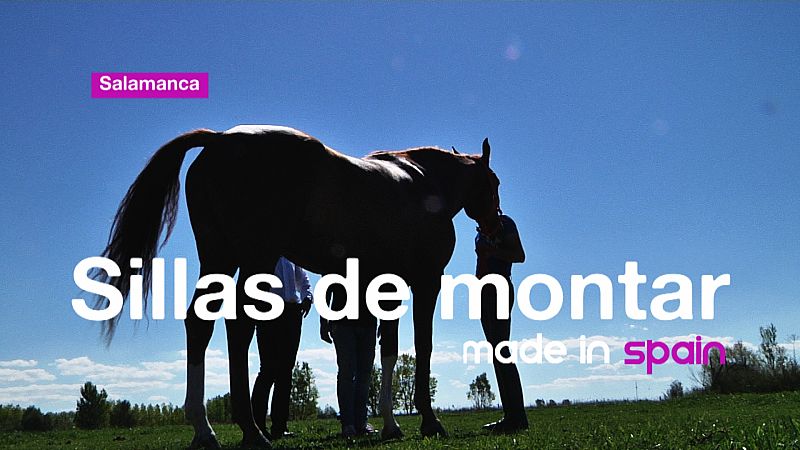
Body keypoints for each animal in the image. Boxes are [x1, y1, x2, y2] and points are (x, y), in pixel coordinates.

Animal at [93, 125, 500, 448]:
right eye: (494, 182)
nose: (495, 225)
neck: (424, 181)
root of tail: (219, 140)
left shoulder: (386, 286)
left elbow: (388, 349)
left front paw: (390, 425)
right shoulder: (427, 280)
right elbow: (422, 346)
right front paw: (429, 422)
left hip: (218, 258)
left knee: (200, 323)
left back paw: (205, 429)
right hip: (254, 258)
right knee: (239, 327)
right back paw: (252, 430)